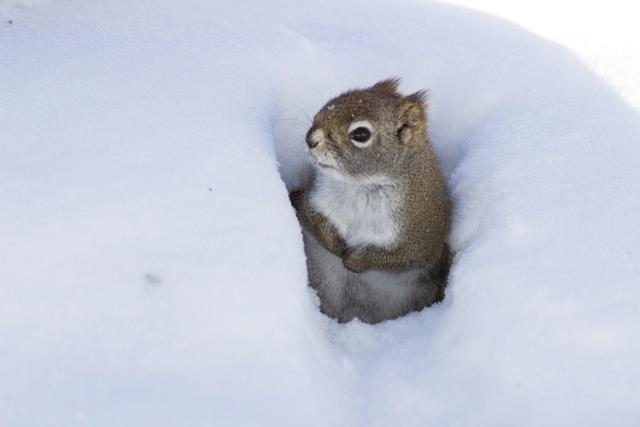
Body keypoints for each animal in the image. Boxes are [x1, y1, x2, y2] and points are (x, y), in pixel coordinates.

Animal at [290, 78, 451, 324]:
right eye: (331, 102)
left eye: (360, 134)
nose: (310, 139)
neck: (360, 186)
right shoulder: (312, 198)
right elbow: (312, 219)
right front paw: (337, 246)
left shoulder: (419, 239)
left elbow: (397, 258)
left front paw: (353, 260)